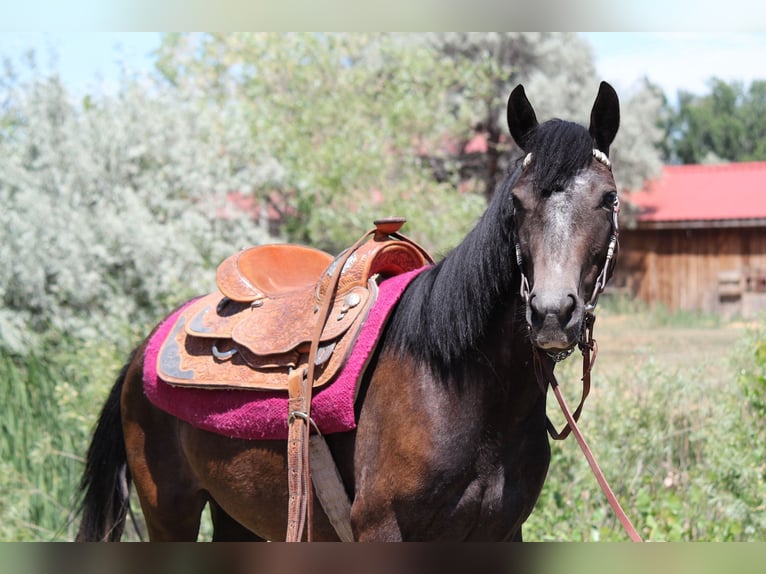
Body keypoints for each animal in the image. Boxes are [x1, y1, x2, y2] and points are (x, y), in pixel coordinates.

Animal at [75, 81, 620, 542]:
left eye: (609, 198)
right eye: (516, 202)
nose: (551, 313)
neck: (461, 385)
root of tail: (146, 346)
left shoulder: (502, 532)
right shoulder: (380, 528)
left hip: (236, 513)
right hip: (170, 511)